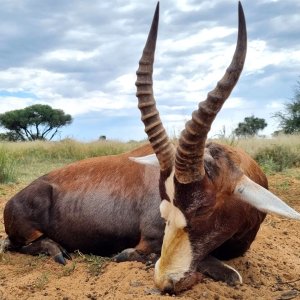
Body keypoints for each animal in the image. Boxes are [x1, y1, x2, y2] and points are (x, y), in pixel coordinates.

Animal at [0, 0, 298, 294]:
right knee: (13, 245)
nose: (166, 280)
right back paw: (59, 251)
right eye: (164, 209)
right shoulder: (150, 239)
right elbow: (232, 275)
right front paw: (127, 256)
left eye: (203, 209)